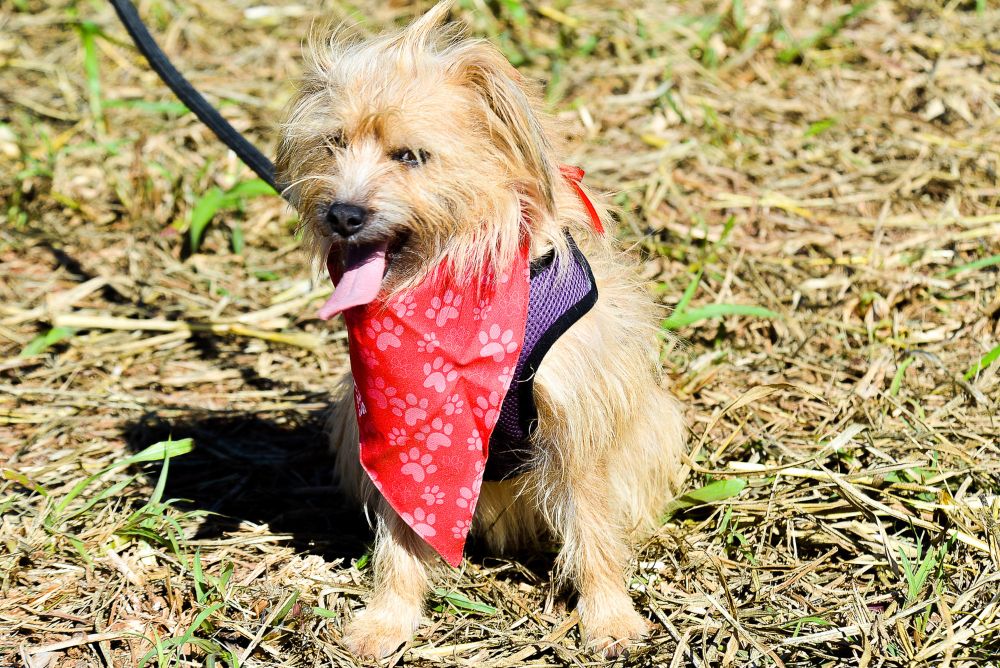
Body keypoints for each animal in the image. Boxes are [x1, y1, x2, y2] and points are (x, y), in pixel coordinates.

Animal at [276, 0, 688, 656]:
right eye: (334, 144)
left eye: (409, 155)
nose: (342, 214)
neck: (450, 291)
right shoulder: (402, 432)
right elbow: (401, 538)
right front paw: (388, 619)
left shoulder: (578, 423)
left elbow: (594, 529)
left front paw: (610, 617)